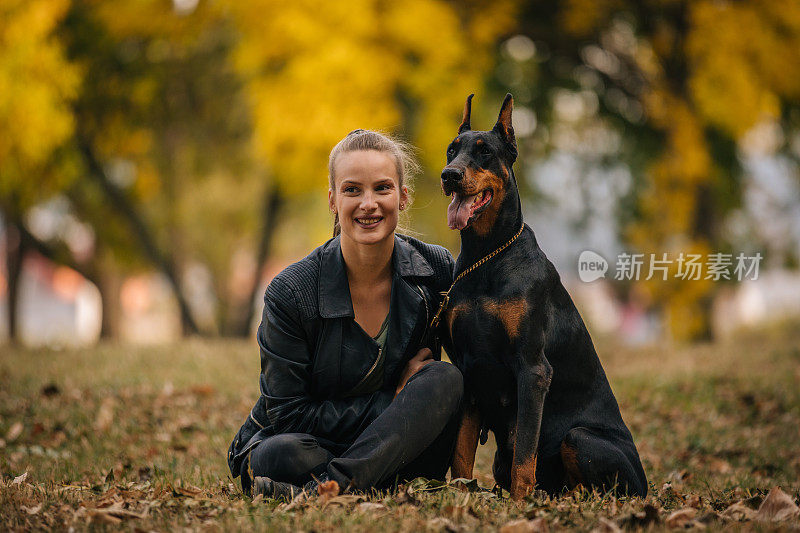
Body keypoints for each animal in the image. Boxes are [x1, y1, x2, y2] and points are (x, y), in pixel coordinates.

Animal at [440, 94, 648, 498]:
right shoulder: (470, 368)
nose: (449, 175)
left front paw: (521, 504)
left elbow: (525, 452)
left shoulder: (533, 369)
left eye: (485, 151)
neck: (487, 255)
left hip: (580, 439)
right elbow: (461, 449)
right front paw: (460, 493)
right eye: (450, 151)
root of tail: (648, 486)